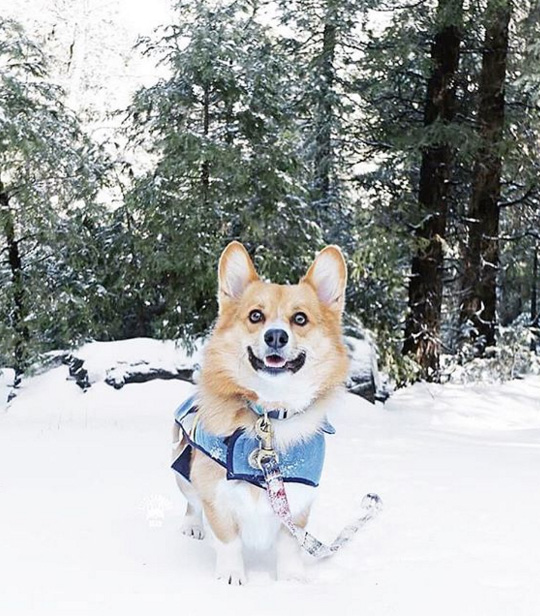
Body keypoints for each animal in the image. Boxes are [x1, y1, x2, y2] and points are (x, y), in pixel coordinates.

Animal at [173, 241, 350, 584]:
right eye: (256, 316)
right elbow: (227, 539)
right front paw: (231, 576)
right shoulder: (216, 494)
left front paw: (291, 579)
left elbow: (290, 544)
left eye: (300, 319)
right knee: (191, 503)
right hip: (184, 468)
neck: (270, 412)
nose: (276, 336)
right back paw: (192, 526)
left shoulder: (297, 501)